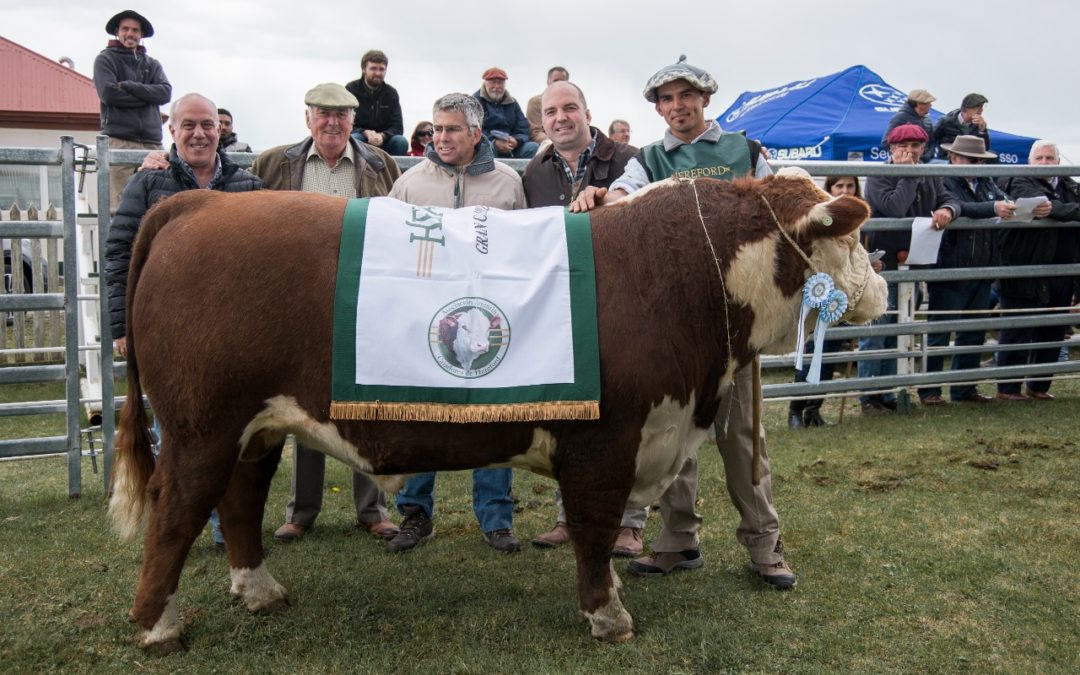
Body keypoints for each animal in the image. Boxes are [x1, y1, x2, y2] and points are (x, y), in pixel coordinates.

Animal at [107, 166, 885, 652]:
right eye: (852, 236)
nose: (880, 288)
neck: (678, 272)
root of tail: (202, 203)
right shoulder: (605, 441)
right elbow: (595, 530)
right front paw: (607, 615)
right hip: (201, 426)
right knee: (178, 511)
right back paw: (157, 626)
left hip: (258, 426)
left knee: (239, 498)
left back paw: (259, 588)